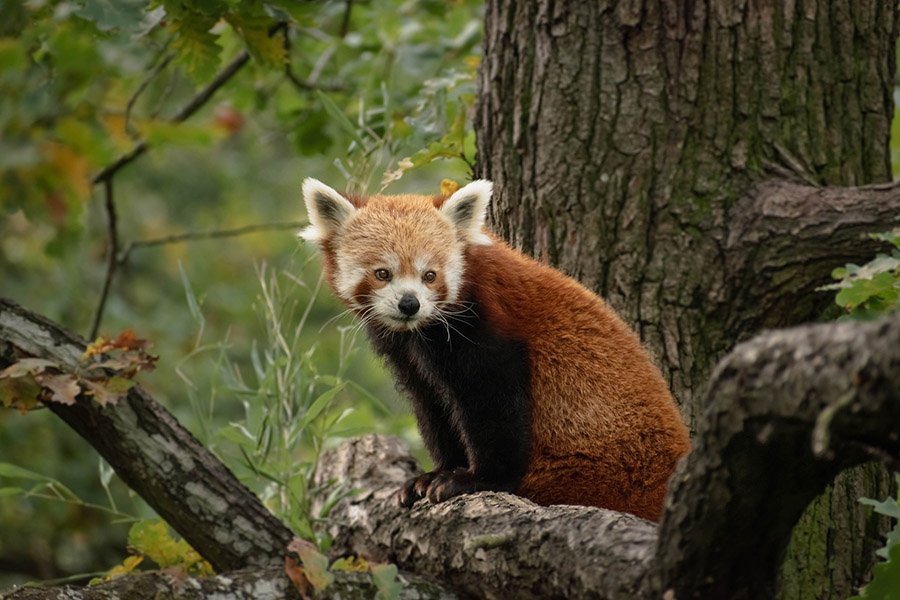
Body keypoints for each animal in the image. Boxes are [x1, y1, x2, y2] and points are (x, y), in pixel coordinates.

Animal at [300, 177, 688, 520]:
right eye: (382, 273)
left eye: (430, 275)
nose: (410, 304)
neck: (421, 333)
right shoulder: (410, 358)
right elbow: (434, 406)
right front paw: (435, 473)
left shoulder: (487, 332)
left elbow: (495, 406)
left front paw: (475, 479)